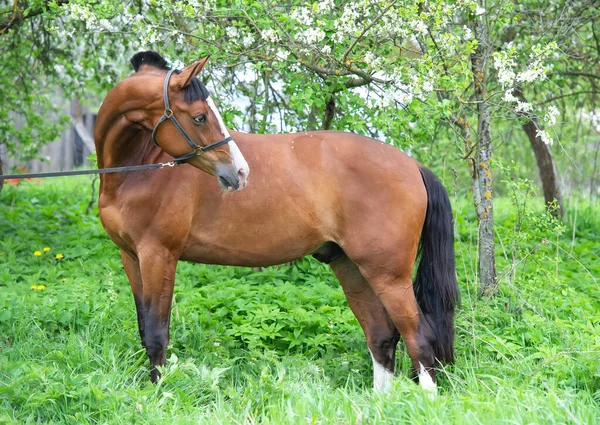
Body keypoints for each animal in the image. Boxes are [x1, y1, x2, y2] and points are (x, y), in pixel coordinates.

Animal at [94, 51, 460, 392]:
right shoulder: (132, 257)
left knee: (418, 337)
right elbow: (145, 328)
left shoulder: (160, 255)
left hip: (389, 277)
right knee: (381, 335)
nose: (240, 172)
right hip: (352, 267)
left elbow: (157, 332)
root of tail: (413, 165)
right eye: (200, 116)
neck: (138, 169)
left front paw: (160, 393)